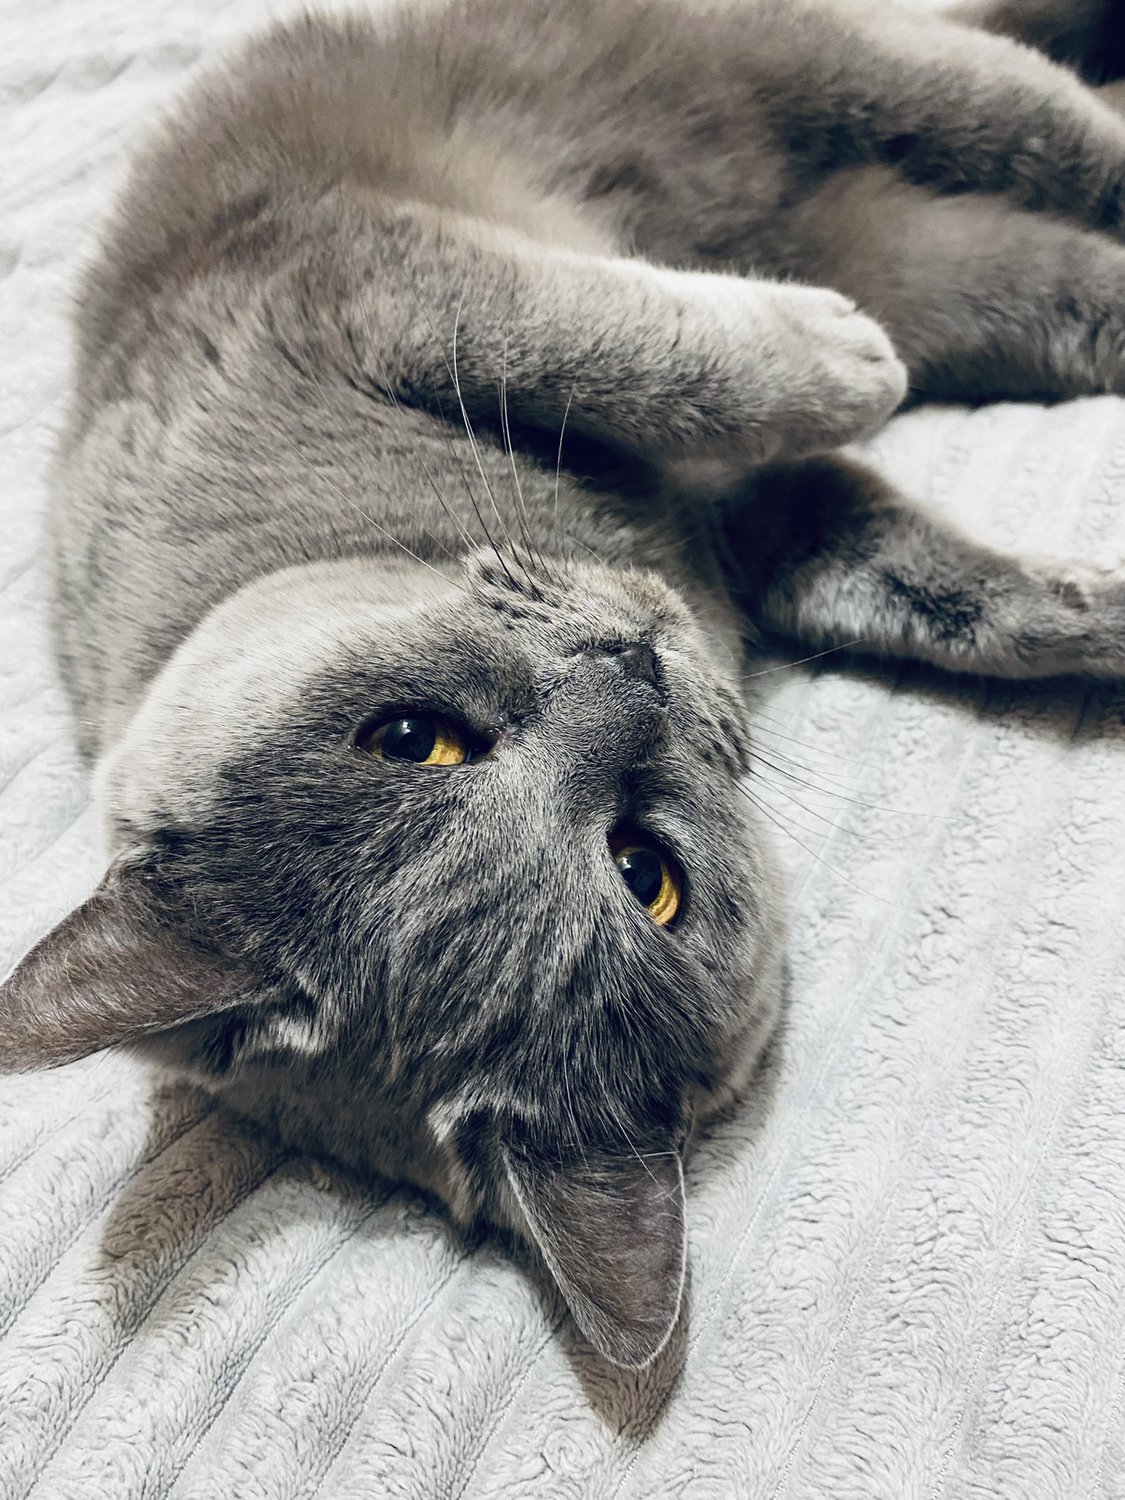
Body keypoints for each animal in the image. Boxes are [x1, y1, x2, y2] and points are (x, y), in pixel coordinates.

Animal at [4, 0, 1125, 1370]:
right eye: (648, 875)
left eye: (411, 737)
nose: (633, 674)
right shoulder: (765, 534)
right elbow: (932, 586)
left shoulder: (334, 279)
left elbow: (577, 335)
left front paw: (846, 357)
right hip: (922, 232)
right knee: (1062, 263)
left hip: (800, 67)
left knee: (1039, 120)